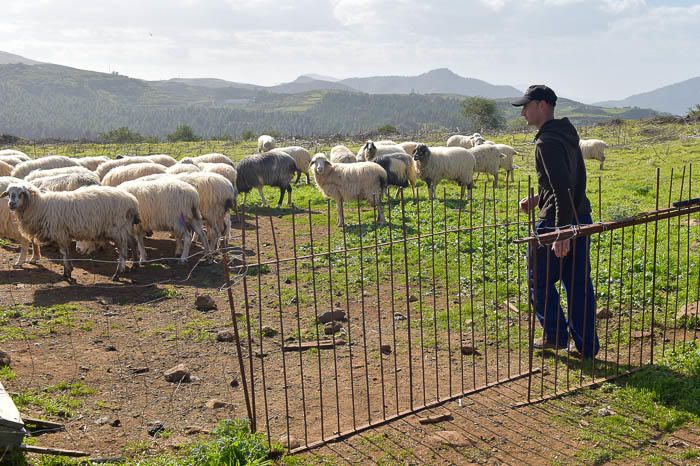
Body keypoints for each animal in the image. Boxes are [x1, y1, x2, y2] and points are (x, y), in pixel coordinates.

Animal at [1, 182, 139, 280]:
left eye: (21, 193)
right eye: (8, 194)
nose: (11, 204)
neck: (39, 206)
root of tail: (132, 201)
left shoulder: (59, 233)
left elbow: (63, 253)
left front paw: (67, 273)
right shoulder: (63, 234)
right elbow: (66, 252)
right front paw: (69, 270)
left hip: (118, 230)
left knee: (123, 251)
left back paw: (118, 274)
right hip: (126, 228)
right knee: (133, 242)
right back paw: (135, 265)